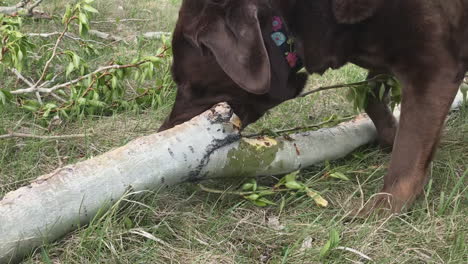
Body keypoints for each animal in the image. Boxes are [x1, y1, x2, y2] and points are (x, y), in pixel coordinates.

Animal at [160, 0, 468, 214]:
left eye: (183, 82)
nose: (162, 130)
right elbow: (371, 97)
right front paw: (391, 134)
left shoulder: (434, 67)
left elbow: (409, 152)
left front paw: (383, 208)